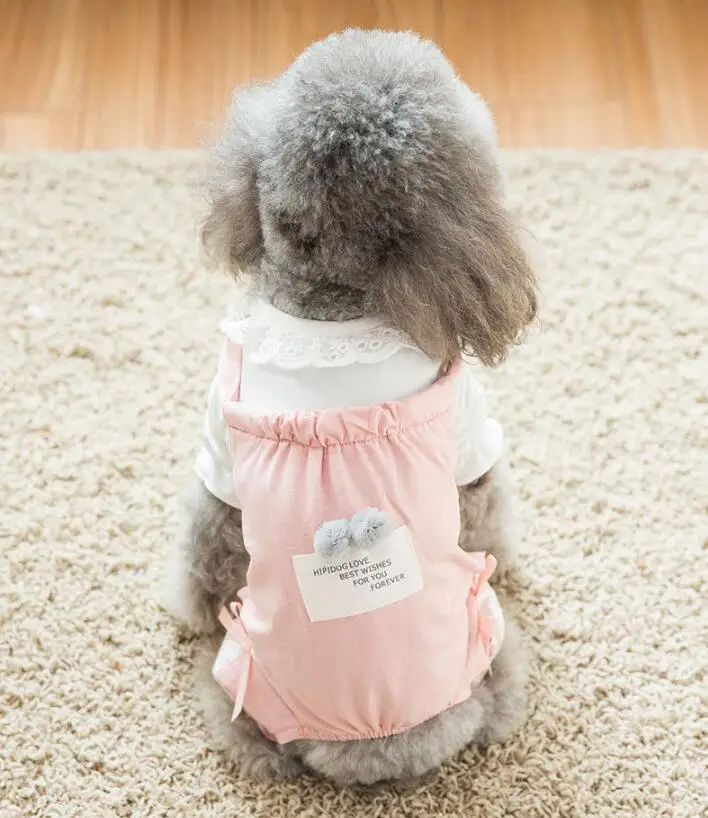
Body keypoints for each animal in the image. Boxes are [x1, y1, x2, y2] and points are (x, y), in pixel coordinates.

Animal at [163, 29, 537, 786]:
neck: (327, 308)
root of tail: (374, 744)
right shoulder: (470, 441)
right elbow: (489, 508)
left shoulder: (217, 462)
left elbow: (203, 542)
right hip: (490, 638)